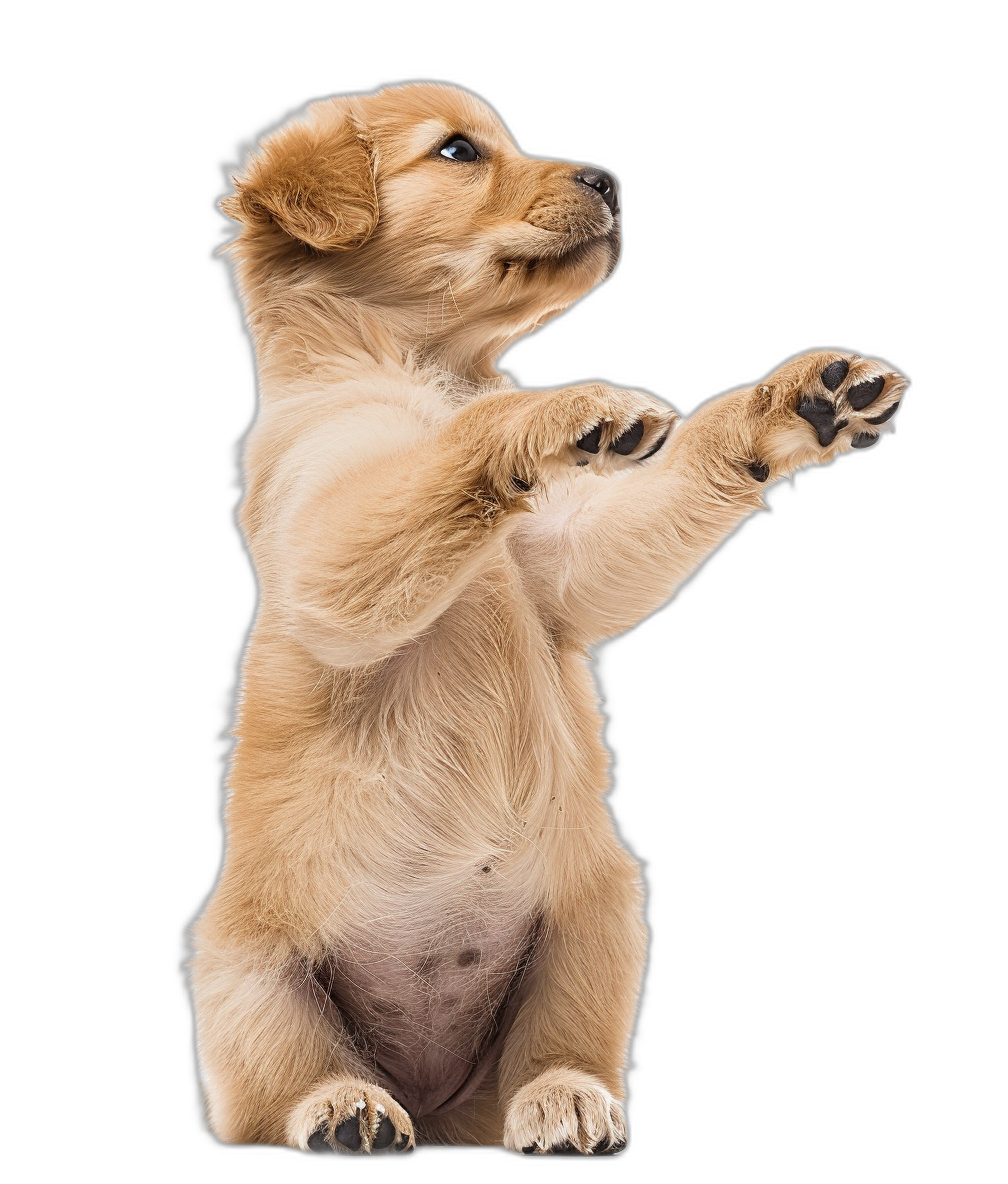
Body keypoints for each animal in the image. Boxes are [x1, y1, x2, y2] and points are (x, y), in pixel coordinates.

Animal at [184, 78, 909, 1150]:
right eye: (456, 151)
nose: (610, 179)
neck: (425, 371)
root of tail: (435, 1101)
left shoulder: (564, 569)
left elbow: (652, 496)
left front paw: (793, 406)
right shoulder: (324, 552)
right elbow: (453, 452)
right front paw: (564, 408)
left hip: (600, 919)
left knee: (556, 1049)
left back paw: (565, 1100)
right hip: (243, 976)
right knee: (287, 1079)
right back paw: (347, 1107)